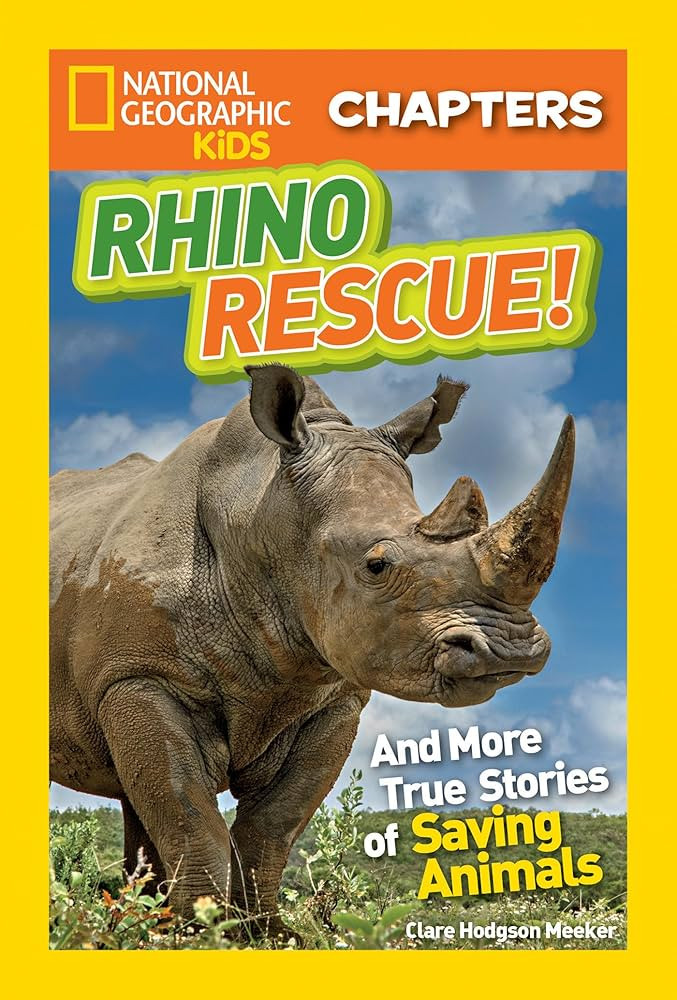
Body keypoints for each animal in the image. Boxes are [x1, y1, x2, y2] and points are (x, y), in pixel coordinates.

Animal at [50, 364, 574, 936]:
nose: (510, 649)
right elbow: (189, 815)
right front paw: (201, 934)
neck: (262, 515)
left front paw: (267, 934)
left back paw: (136, 919)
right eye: (377, 566)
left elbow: (273, 824)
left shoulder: (334, 698)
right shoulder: (139, 678)